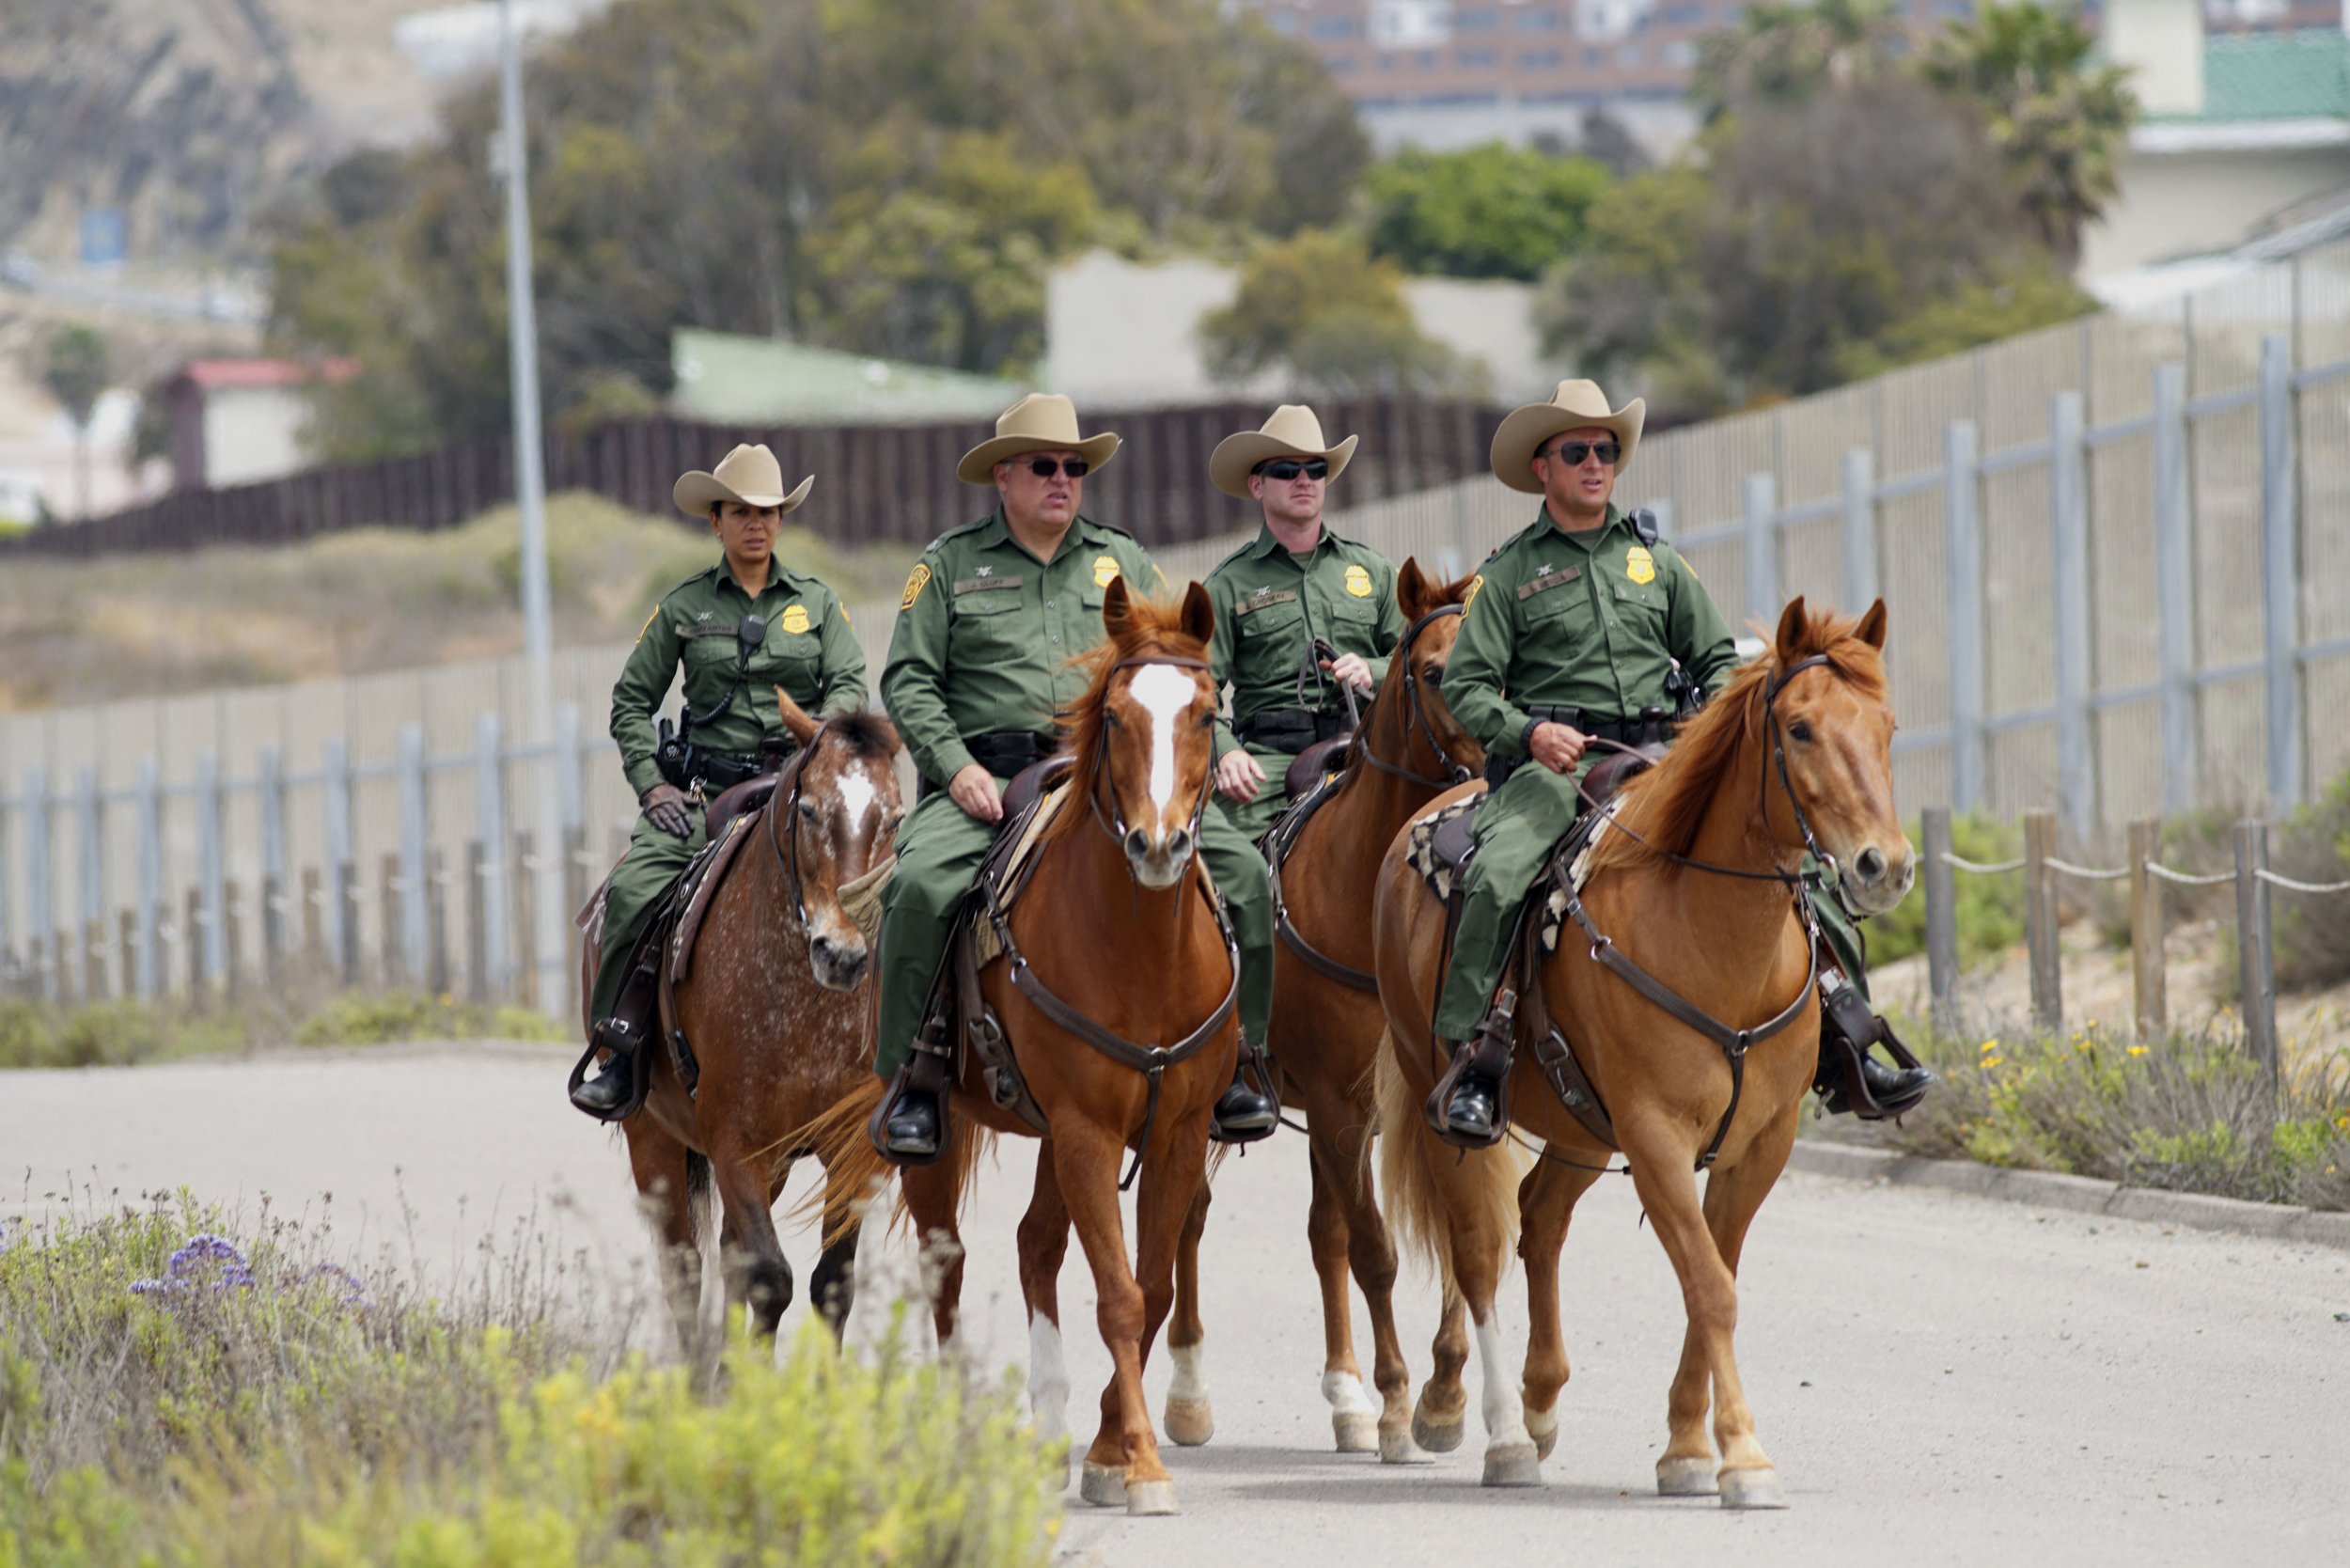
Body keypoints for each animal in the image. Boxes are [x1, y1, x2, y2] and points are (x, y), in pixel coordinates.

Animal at [583, 700, 902, 1354]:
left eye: (894, 817)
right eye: (809, 810)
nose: (843, 954)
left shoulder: (850, 1150)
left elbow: (832, 1283)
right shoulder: (734, 1143)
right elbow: (768, 1279)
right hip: (652, 1141)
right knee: (685, 1271)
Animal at [818, 580, 1241, 1523]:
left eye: (1205, 712)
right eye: (1116, 717)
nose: (1158, 845)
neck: (1143, 953)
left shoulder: (1173, 1133)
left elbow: (1152, 1287)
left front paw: (1112, 1451)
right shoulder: (1087, 1130)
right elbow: (1119, 1299)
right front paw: (1145, 1467)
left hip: (1056, 1139)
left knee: (1035, 1247)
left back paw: (1052, 1429)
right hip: (943, 1139)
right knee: (950, 1264)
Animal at [1161, 557, 1476, 1466]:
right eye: (1435, 670)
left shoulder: (1404, 1103)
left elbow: (1430, 1235)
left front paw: (1434, 1396)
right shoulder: (1339, 1104)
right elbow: (1374, 1253)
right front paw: (1400, 1403)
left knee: (1317, 1232)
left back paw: (1344, 1395)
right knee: (1186, 1222)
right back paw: (1188, 1397)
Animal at [1372, 602, 1908, 1504]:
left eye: (1888, 727)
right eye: (1800, 728)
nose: (1885, 866)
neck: (1710, 937)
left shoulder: (1758, 1147)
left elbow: (1711, 1279)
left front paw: (1688, 1449)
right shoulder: (1656, 1137)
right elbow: (1711, 1289)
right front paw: (1743, 1456)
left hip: (1582, 1129)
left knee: (1541, 1221)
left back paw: (1541, 1401)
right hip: (1442, 1101)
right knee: (1477, 1256)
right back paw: (1498, 1433)